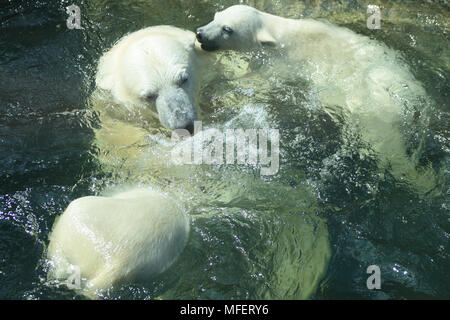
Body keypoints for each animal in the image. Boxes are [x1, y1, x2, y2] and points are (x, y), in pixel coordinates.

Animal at [197, 5, 436, 195]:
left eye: (227, 29)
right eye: (216, 16)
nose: (200, 34)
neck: (280, 33)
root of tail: (411, 107)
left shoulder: (284, 63)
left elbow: (258, 81)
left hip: (374, 115)